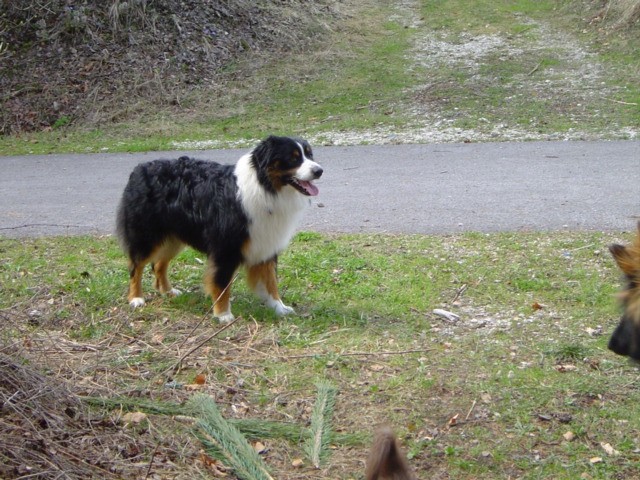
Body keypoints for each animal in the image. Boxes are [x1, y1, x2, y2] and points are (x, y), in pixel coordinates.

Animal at [115, 135, 322, 322]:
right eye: (293, 158)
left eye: (309, 154)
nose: (319, 171)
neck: (265, 188)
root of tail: (140, 168)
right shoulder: (225, 248)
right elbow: (222, 284)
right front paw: (223, 314)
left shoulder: (266, 244)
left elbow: (270, 282)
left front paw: (279, 307)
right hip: (146, 236)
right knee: (136, 266)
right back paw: (136, 298)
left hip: (174, 237)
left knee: (159, 264)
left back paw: (168, 291)